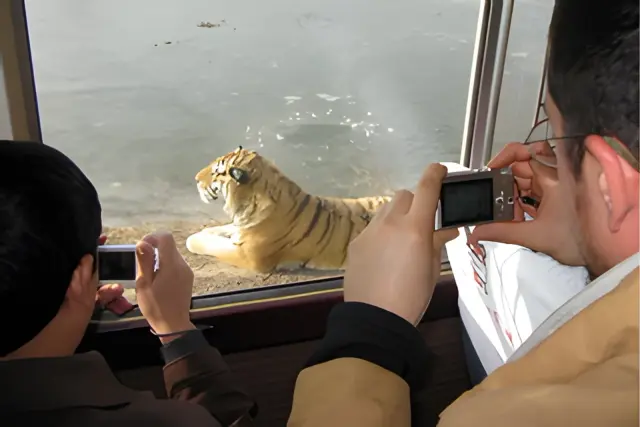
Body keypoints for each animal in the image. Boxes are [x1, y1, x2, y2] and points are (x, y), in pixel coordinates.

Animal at [185, 146, 391, 273]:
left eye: (215, 172)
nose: (195, 178)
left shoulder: (247, 255)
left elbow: (212, 245)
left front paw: (193, 239)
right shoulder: (240, 227)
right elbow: (222, 229)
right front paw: (206, 231)